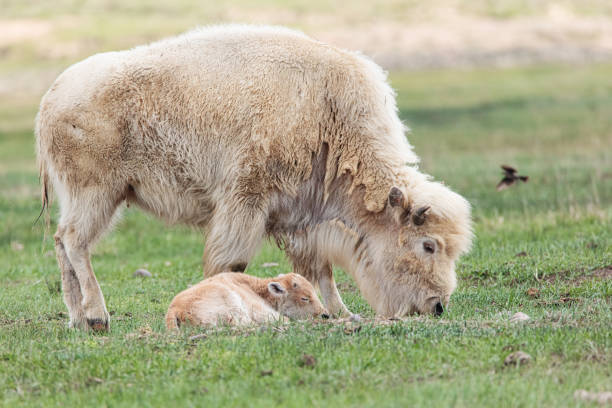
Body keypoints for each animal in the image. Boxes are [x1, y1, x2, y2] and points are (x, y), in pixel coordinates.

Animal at [34, 24, 474, 332]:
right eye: (428, 245)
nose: (437, 305)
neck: (328, 116)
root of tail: (51, 97)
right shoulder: (246, 202)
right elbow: (234, 263)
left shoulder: (303, 218)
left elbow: (320, 271)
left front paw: (344, 313)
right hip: (97, 193)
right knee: (75, 241)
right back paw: (96, 317)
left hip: (89, 196)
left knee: (61, 241)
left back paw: (77, 318)